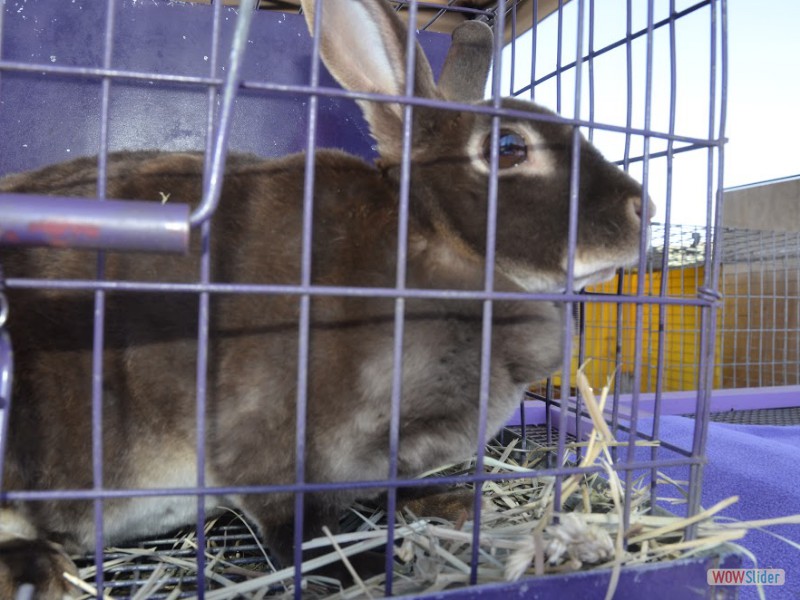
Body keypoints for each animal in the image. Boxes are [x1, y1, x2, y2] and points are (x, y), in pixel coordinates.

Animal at [0, 0, 653, 596]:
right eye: (509, 147)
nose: (641, 209)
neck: (434, 237)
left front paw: (450, 503)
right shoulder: (277, 444)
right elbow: (302, 532)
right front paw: (367, 568)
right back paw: (41, 571)